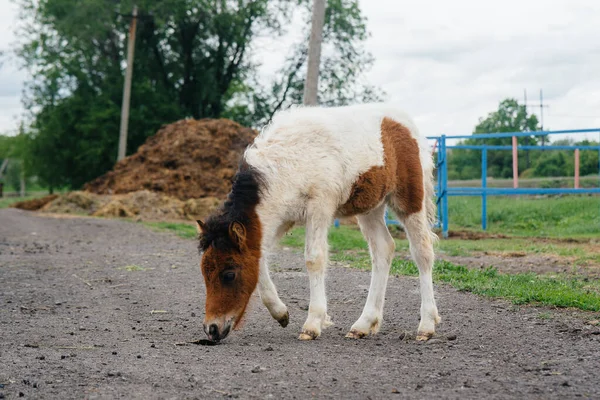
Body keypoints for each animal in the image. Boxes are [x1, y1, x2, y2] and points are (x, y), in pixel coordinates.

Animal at [197, 103, 440, 340]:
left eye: (229, 274)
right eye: (204, 273)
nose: (212, 329)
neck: (286, 163)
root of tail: (403, 121)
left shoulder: (320, 206)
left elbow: (314, 259)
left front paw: (313, 323)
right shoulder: (282, 217)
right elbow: (260, 256)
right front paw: (280, 312)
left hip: (409, 200)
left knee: (422, 251)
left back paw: (426, 325)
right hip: (371, 206)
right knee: (383, 249)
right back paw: (363, 324)